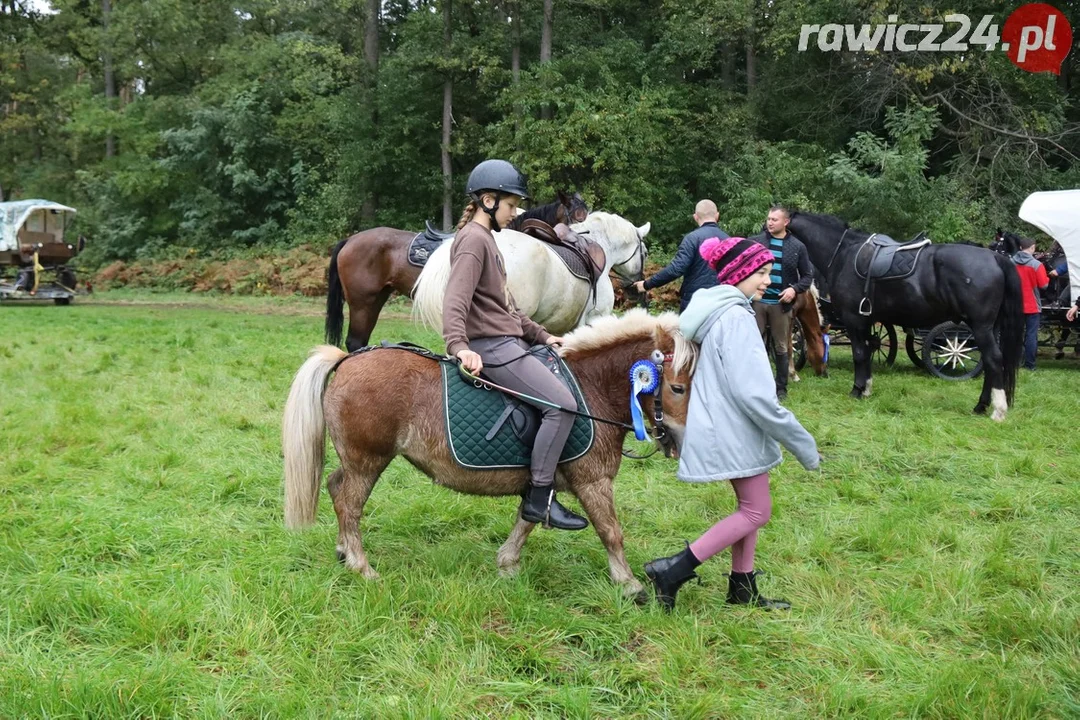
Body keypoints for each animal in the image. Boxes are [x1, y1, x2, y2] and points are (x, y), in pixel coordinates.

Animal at [282, 310, 695, 595]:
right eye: (676, 388)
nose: (682, 440)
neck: (590, 388)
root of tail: (347, 359)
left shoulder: (542, 482)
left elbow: (528, 517)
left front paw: (507, 565)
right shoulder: (594, 481)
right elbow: (611, 532)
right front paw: (629, 585)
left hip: (356, 461)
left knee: (335, 487)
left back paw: (343, 552)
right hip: (368, 461)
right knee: (348, 504)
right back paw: (361, 567)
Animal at [786, 211, 1019, 418]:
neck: (842, 253)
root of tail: (995, 259)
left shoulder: (853, 320)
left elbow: (859, 354)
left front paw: (856, 390)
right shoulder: (867, 321)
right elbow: (868, 351)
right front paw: (866, 389)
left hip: (980, 327)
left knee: (993, 359)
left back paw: (997, 410)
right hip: (990, 328)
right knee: (990, 363)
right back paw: (981, 406)